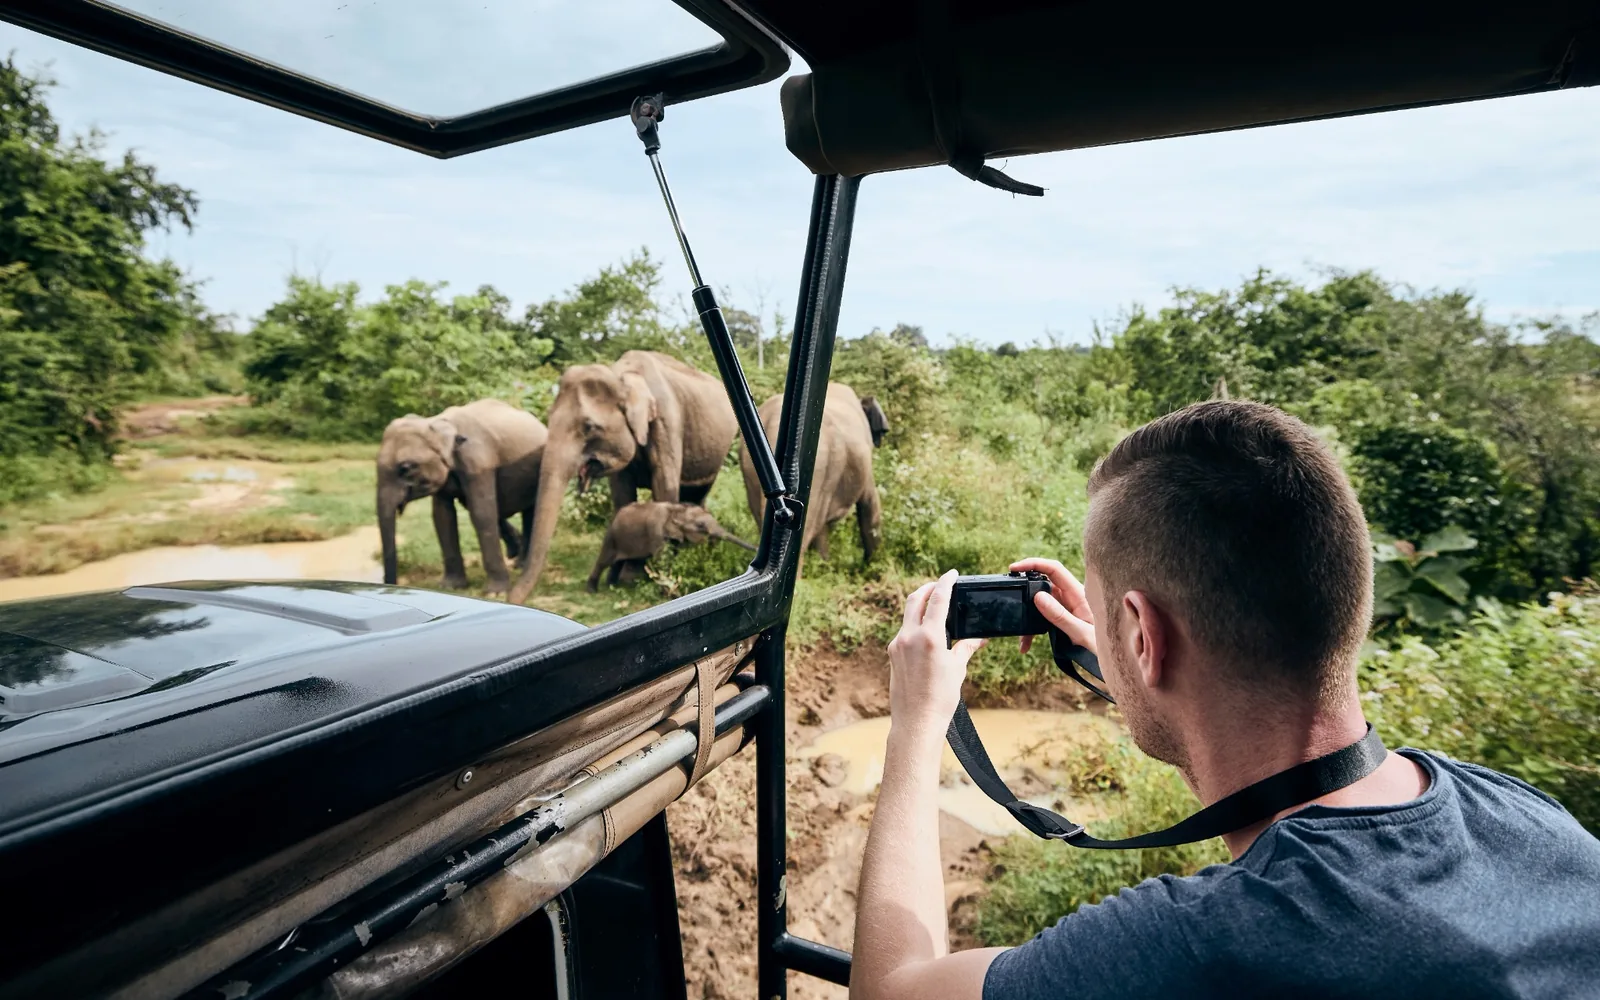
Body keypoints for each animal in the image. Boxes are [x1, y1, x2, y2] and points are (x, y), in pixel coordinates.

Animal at [376, 398, 547, 596]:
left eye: (406, 467)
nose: (391, 585)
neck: (435, 423)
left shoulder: (478, 463)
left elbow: (481, 513)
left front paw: (495, 593)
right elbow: (442, 517)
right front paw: (450, 586)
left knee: (530, 511)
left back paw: (521, 564)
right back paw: (517, 559)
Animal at [587, 501, 756, 592]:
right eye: (700, 526)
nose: (755, 549)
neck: (677, 509)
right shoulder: (656, 532)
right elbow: (662, 560)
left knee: (620, 562)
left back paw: (612, 586)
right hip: (612, 536)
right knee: (604, 561)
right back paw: (592, 590)